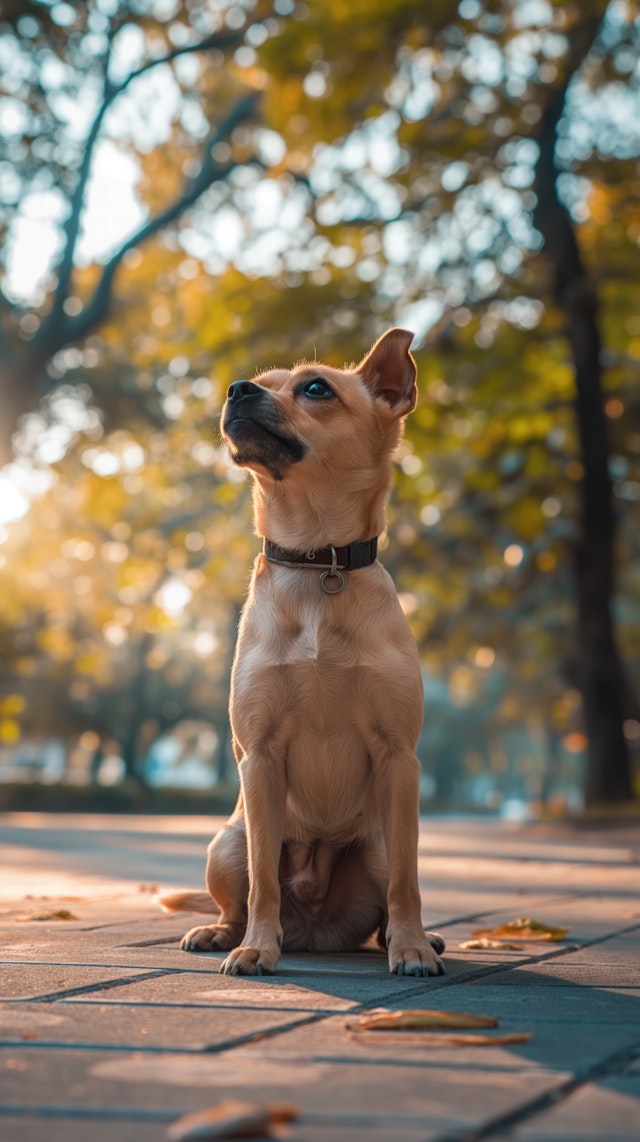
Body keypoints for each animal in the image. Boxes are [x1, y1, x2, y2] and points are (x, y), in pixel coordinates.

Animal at [160, 331, 445, 982]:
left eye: (316, 388)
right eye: (260, 379)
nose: (237, 389)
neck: (320, 562)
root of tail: (315, 928)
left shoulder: (400, 760)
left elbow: (409, 885)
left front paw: (412, 948)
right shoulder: (259, 759)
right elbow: (264, 882)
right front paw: (256, 948)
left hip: (381, 842)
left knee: (391, 896)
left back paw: (415, 939)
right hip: (227, 843)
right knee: (239, 896)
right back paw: (223, 933)